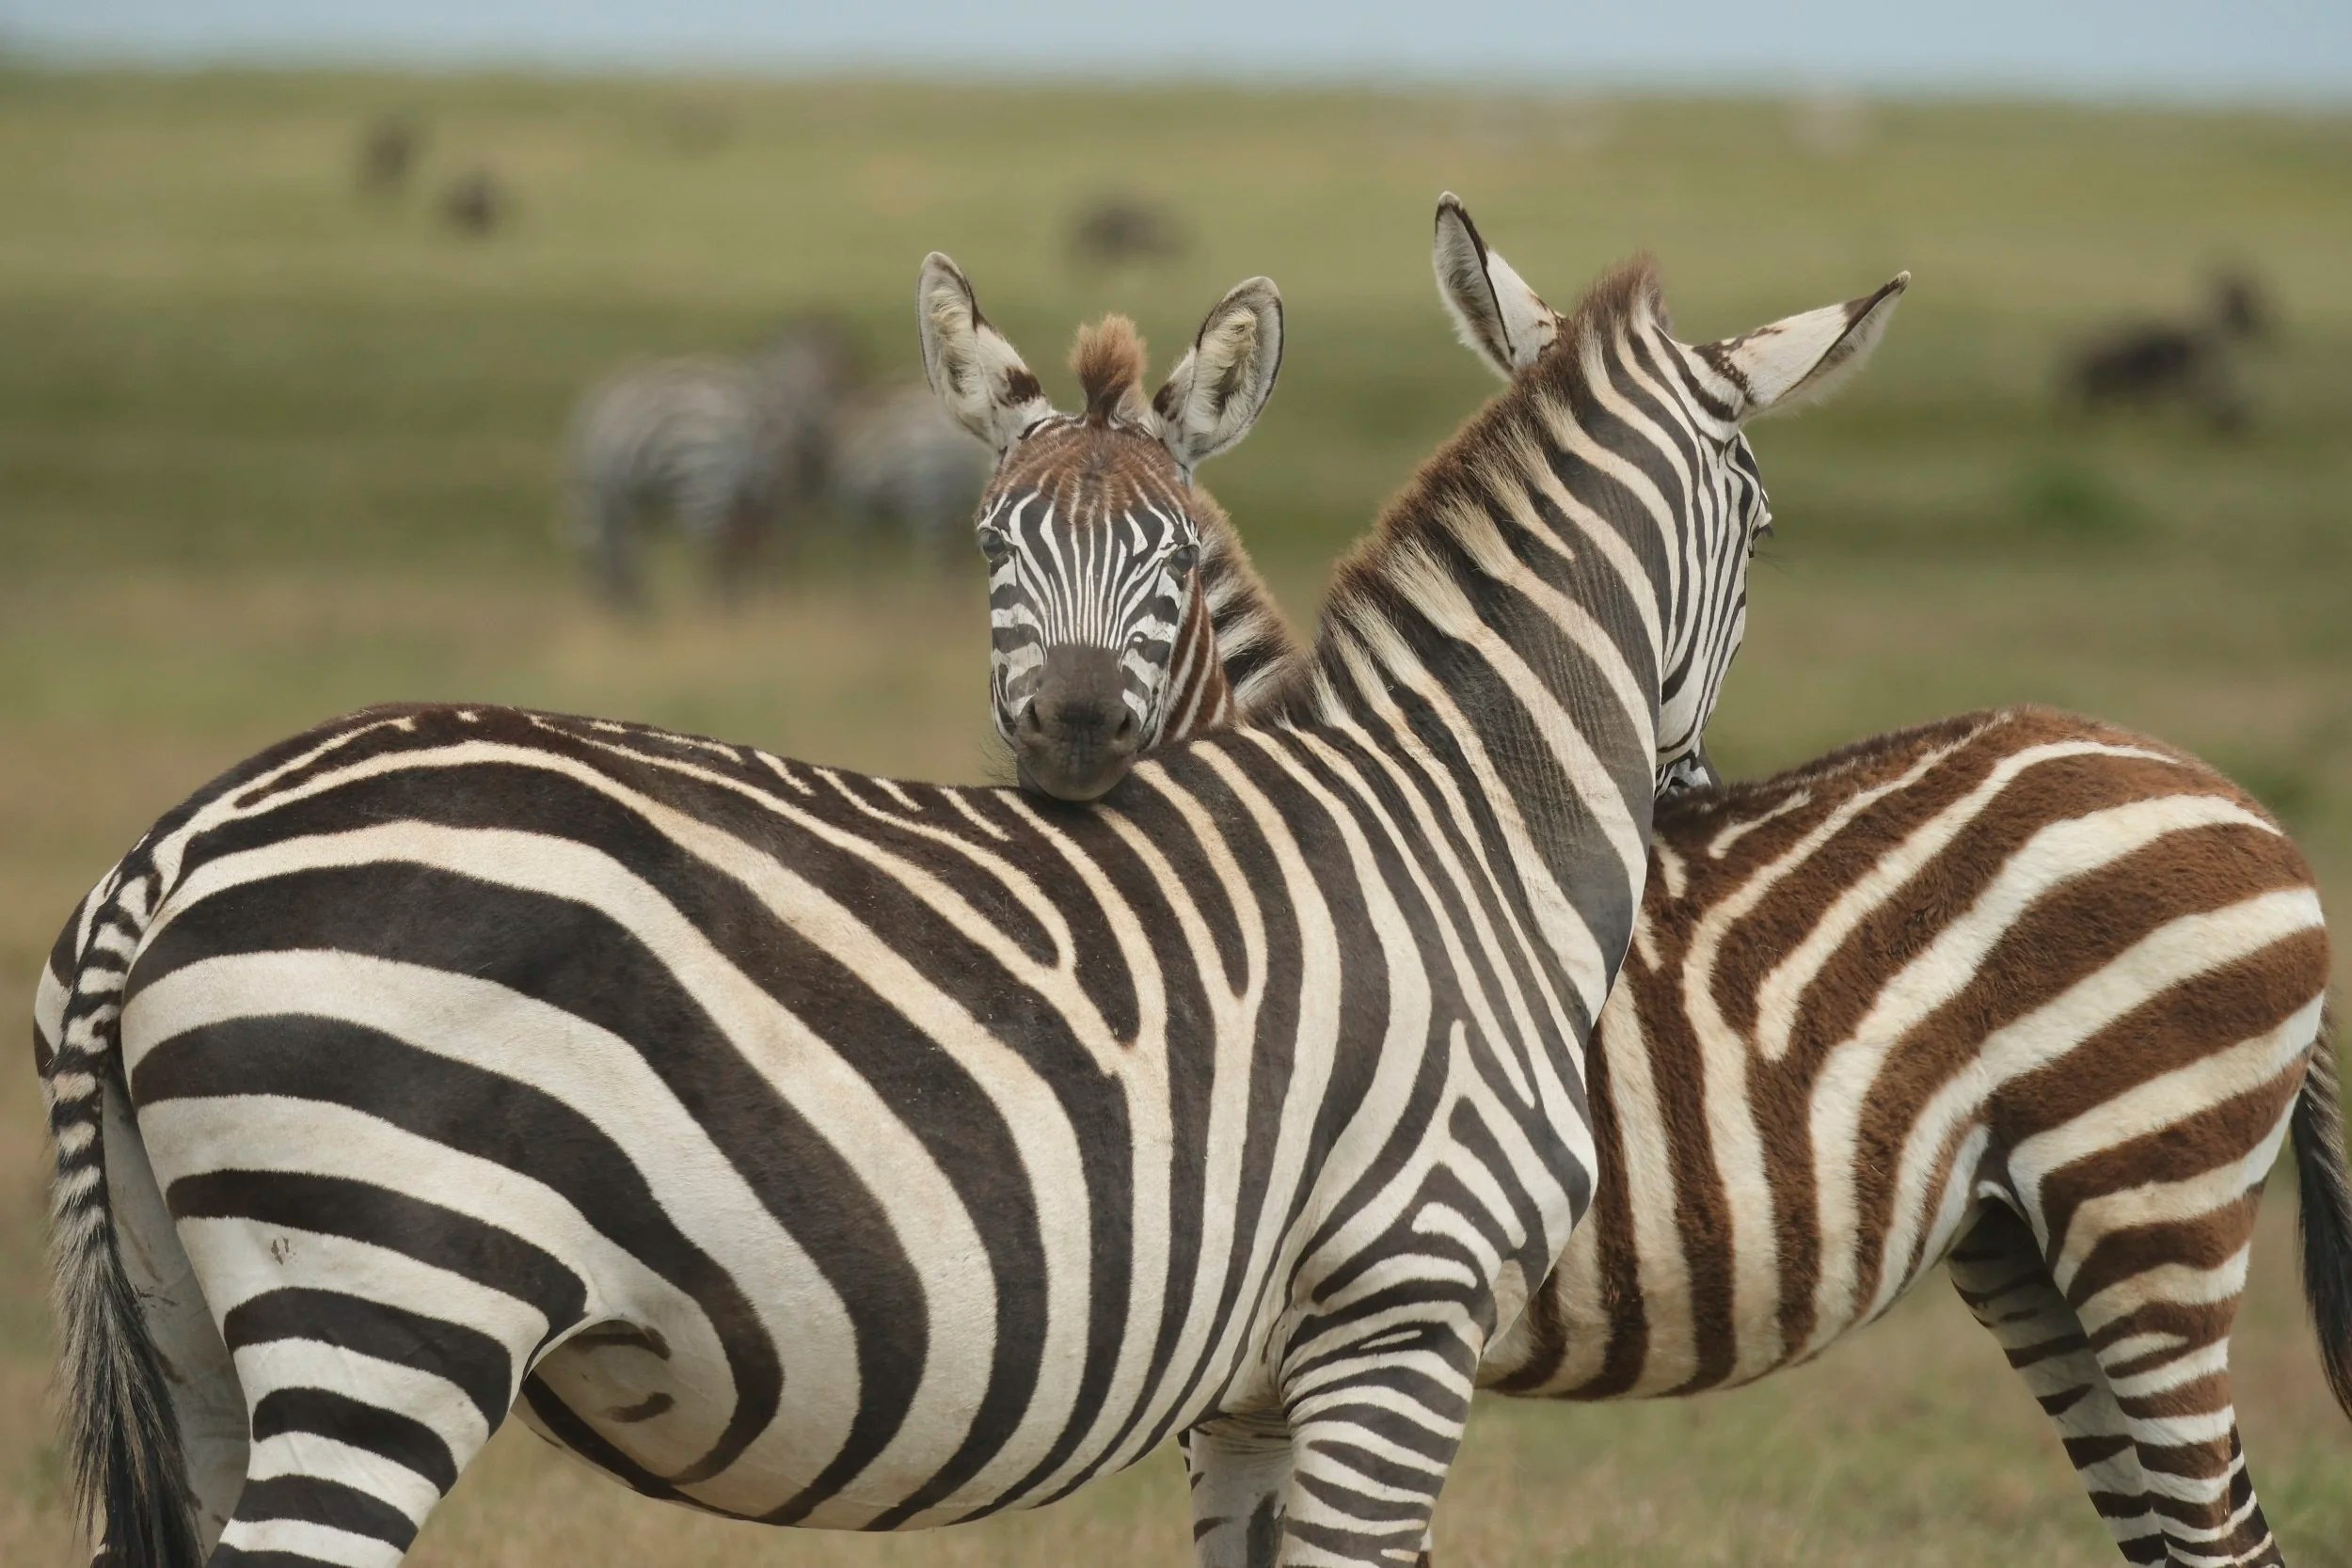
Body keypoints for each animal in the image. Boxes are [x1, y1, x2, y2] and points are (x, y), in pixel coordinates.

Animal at [39, 209, 1905, 1567]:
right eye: (1764, 529)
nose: (1694, 796)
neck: (1465, 814)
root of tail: (173, 843)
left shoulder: (1256, 1380)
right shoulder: (1403, 1305)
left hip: (202, 1327)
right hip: (393, 1297)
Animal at [990, 203, 2352, 1567]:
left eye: (1165, 563)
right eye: (993, 548)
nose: (1067, 733)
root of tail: (2247, 806)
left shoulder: (1362, 1322)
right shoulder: (1268, 1365)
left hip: (2147, 1205)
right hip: (2030, 1246)